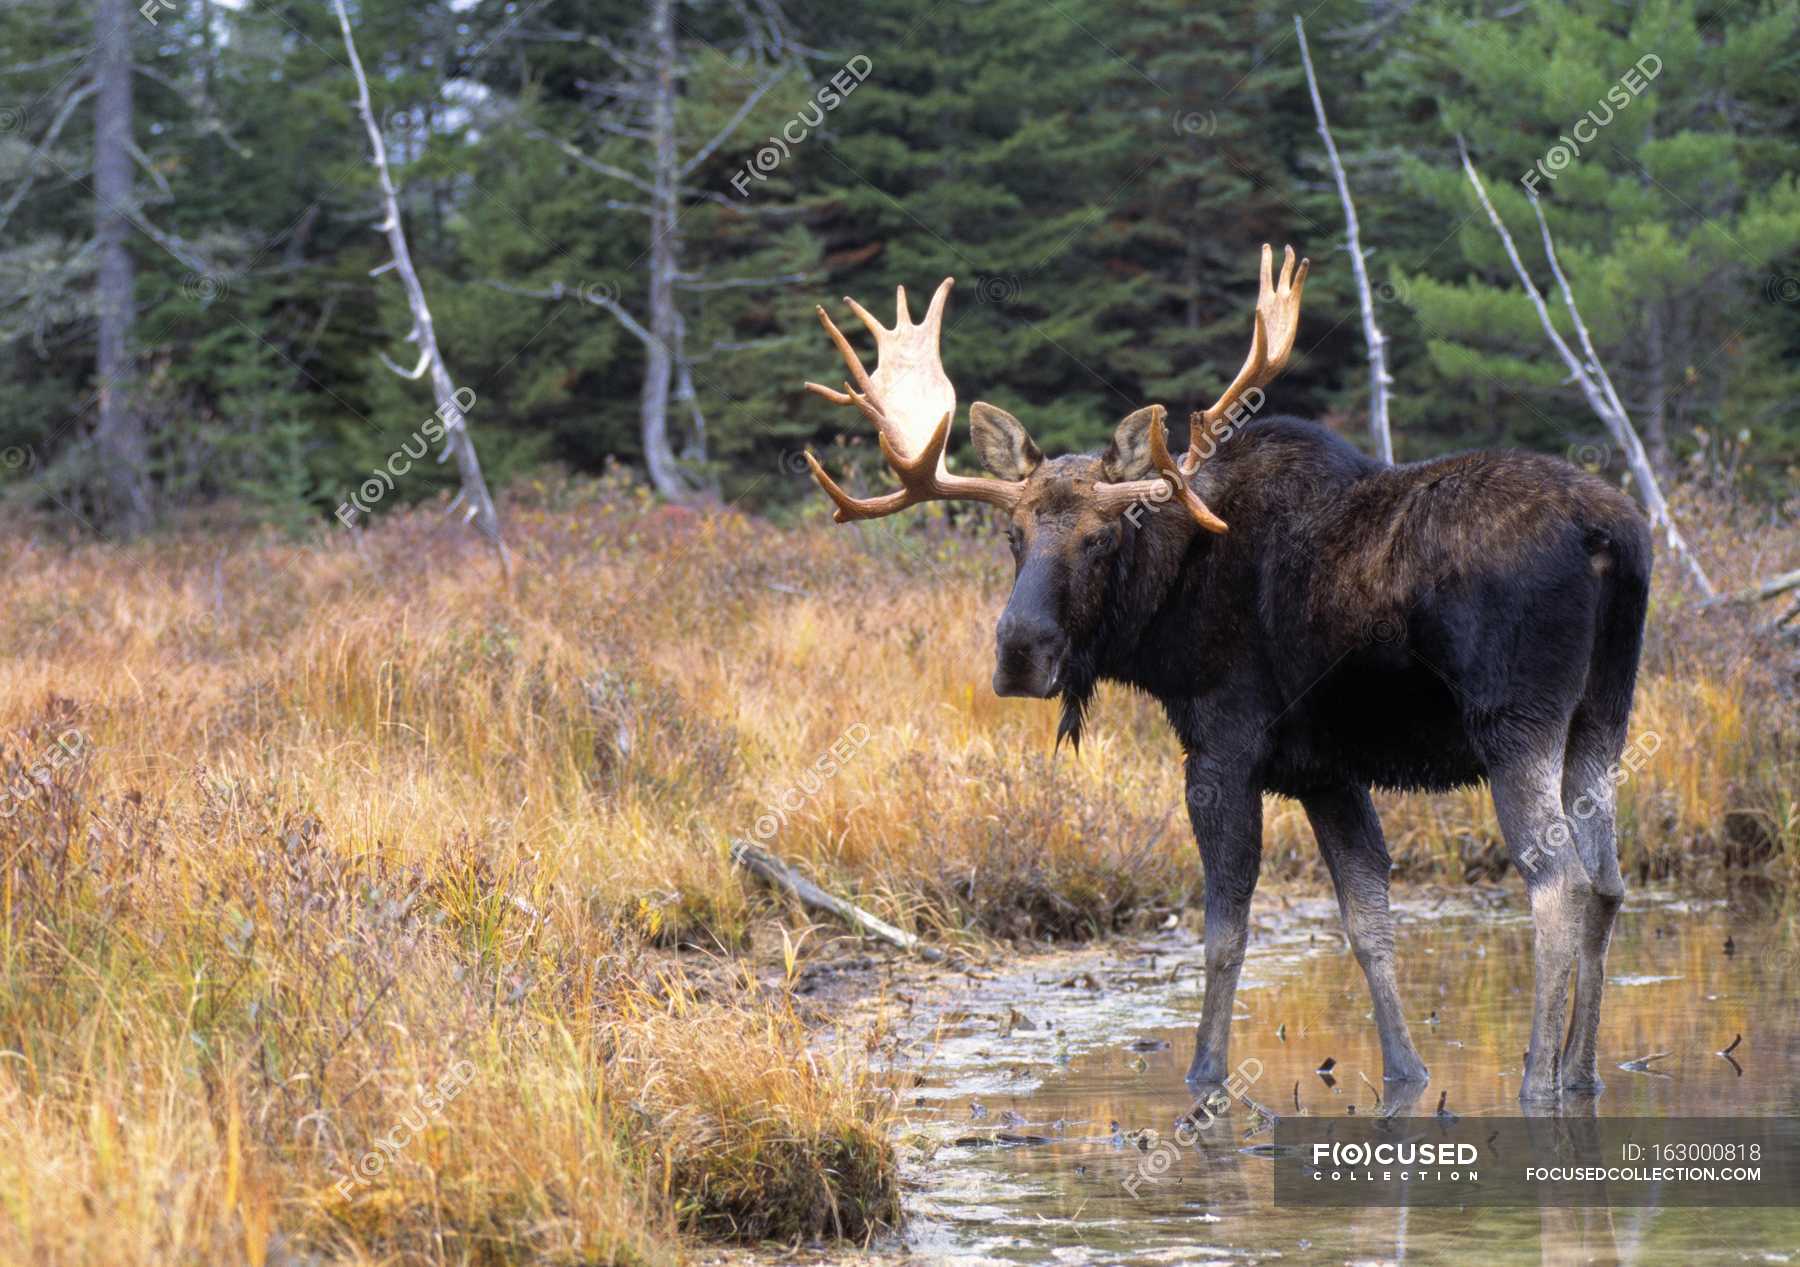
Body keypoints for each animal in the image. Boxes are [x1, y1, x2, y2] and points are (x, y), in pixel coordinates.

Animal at [799, 248, 1648, 1101]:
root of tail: (1610, 531)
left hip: (1514, 722)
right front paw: (1405, 1070)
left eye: (1103, 537)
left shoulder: (1222, 747)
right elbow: (1368, 923)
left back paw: (1538, 1078)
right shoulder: (1325, 772)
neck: (1164, 614)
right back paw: (1582, 1073)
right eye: (1013, 534)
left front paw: (1206, 1072)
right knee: (1608, 880)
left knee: (1558, 882)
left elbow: (1224, 930)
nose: (1019, 651)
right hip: (1603, 716)